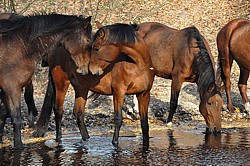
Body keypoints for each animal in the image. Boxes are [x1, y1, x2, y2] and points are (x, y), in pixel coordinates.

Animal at [0, 13, 92, 148]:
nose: (86, 69)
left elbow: (3, 115)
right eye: (88, 41)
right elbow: (16, 118)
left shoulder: (6, 90)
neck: (21, 46)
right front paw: (19, 146)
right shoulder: (12, 89)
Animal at [94, 22, 223, 133]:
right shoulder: (177, 79)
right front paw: (169, 122)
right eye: (210, 103)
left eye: (221, 104)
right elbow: (173, 101)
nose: (216, 129)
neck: (192, 52)